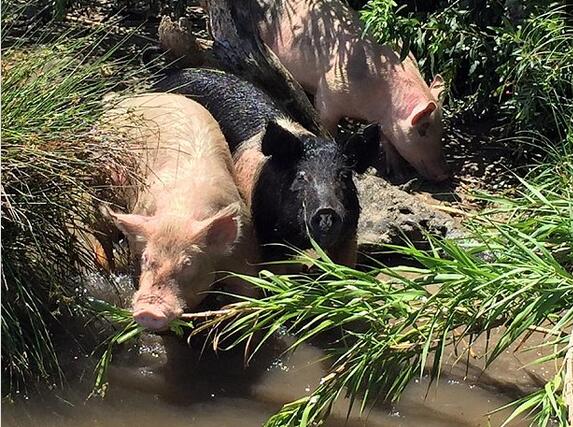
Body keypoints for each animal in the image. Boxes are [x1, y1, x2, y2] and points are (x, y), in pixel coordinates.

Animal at [256, 0, 450, 182]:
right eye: (422, 129)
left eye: (441, 128)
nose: (444, 174)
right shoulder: (329, 91)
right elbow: (326, 124)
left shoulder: (386, 120)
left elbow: (388, 142)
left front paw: (399, 176)